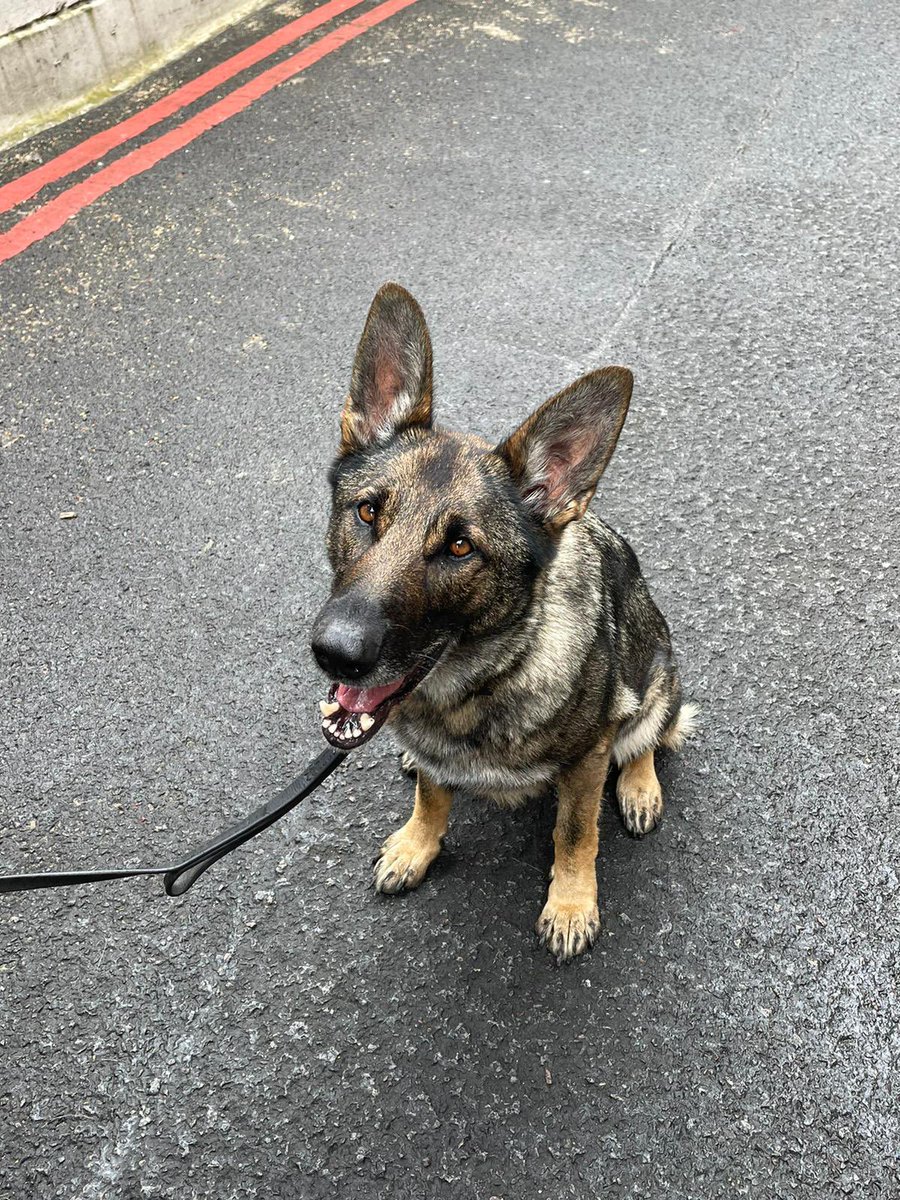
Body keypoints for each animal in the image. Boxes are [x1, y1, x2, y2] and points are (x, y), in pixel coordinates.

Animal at [309, 283, 696, 964]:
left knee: (650, 732)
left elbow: (576, 832)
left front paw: (570, 903)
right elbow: (432, 793)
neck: (482, 681)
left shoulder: (587, 759)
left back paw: (640, 784)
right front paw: (418, 842)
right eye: (367, 512)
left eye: (461, 548)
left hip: (656, 668)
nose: (335, 654)